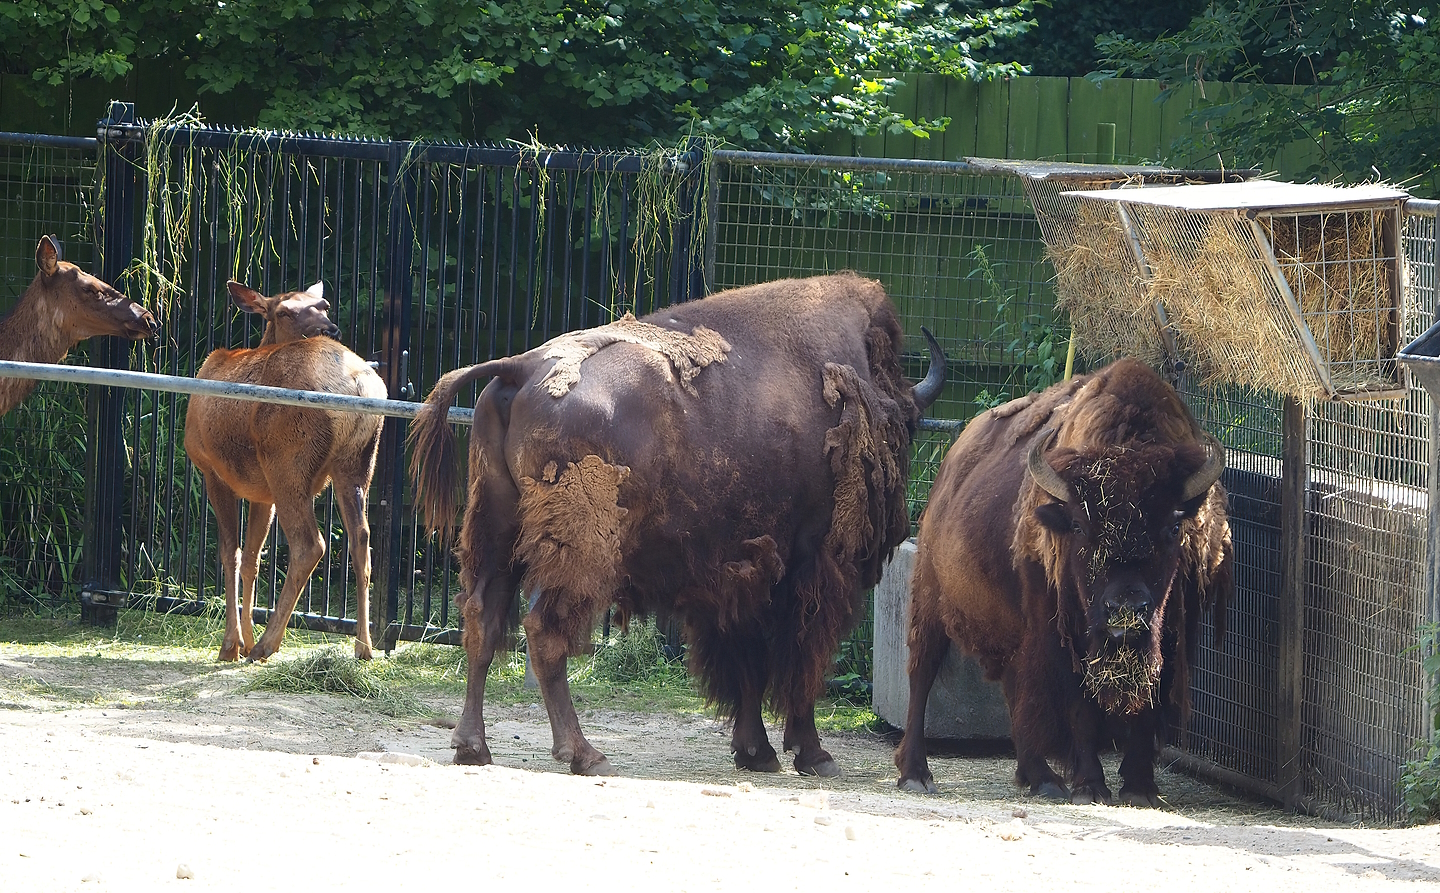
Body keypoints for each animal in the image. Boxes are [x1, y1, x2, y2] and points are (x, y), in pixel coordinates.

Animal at [410, 272, 943, 777]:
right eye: (907, 430)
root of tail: (521, 368)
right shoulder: (811, 568)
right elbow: (799, 663)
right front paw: (813, 754)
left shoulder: (738, 576)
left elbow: (746, 661)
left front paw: (757, 752)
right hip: (581, 552)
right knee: (544, 631)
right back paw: (586, 754)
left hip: (497, 531)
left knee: (482, 621)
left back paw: (472, 748)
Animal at [894, 358, 1232, 806]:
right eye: (1078, 527)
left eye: (1173, 527)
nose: (1126, 609)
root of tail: (951, 465)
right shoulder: (1065, 635)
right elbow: (1079, 708)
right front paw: (1090, 785)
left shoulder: (1170, 636)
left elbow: (1147, 705)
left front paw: (1140, 788)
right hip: (929, 600)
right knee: (922, 674)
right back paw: (917, 773)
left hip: (1012, 633)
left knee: (1012, 692)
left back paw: (1041, 777)